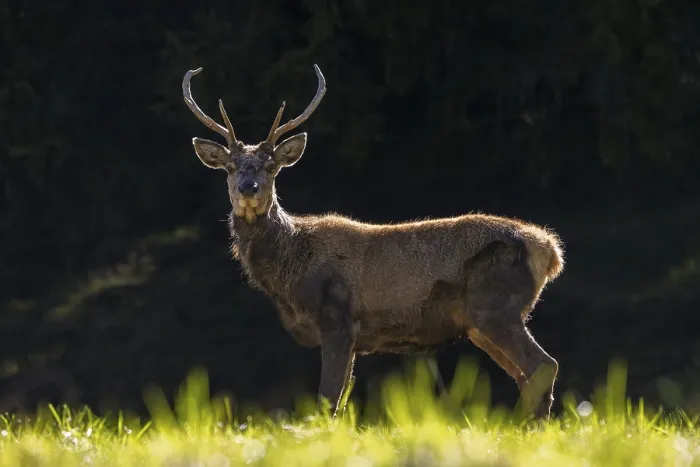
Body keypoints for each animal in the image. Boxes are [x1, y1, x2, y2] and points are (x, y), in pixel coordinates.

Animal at [182, 64, 565, 420]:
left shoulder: (338, 318)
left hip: (496, 305)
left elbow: (327, 400)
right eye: (230, 167)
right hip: (482, 322)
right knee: (527, 376)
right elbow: (339, 401)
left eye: (272, 166)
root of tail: (550, 250)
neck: (290, 272)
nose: (249, 188)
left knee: (543, 366)